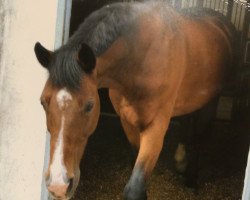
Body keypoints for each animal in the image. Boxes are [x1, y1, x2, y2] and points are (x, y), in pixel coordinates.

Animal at [34, 1, 235, 198]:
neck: (140, 60)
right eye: (43, 102)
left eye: (90, 106)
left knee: (200, 136)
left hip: (211, 101)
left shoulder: (155, 127)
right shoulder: (127, 121)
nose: (58, 185)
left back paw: (192, 179)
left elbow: (135, 188)